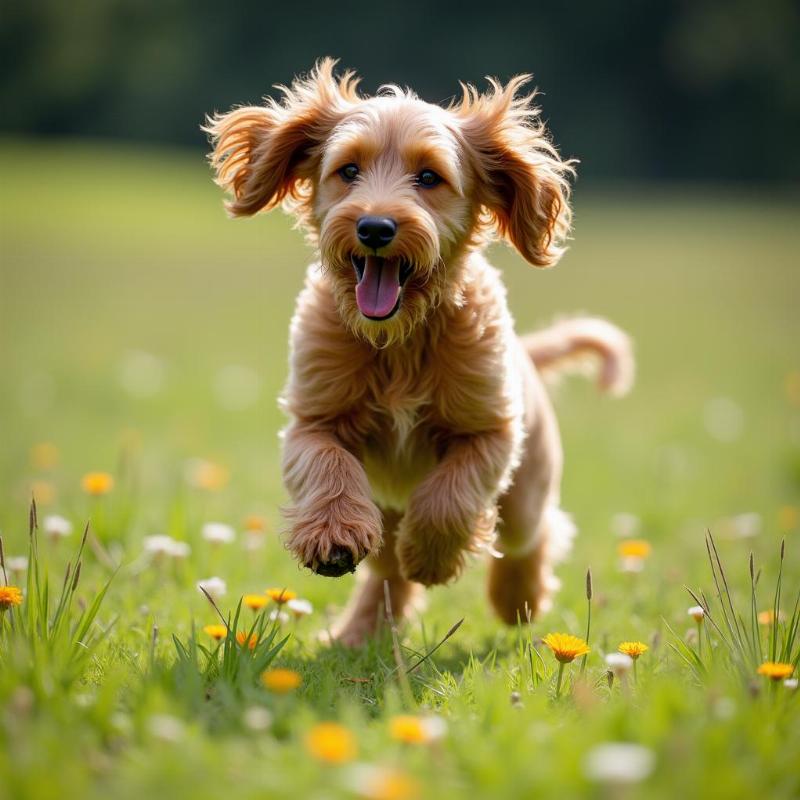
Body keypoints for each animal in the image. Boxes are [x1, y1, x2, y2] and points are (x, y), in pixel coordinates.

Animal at [206, 59, 632, 648]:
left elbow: (449, 497)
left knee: (530, 535)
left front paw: (432, 558)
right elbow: (328, 465)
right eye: (349, 170)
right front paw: (332, 537)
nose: (374, 227)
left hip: (530, 482)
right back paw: (360, 633)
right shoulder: (312, 419)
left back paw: (516, 600)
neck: (399, 341)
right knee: (387, 571)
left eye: (429, 177)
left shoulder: (491, 432)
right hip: (386, 508)